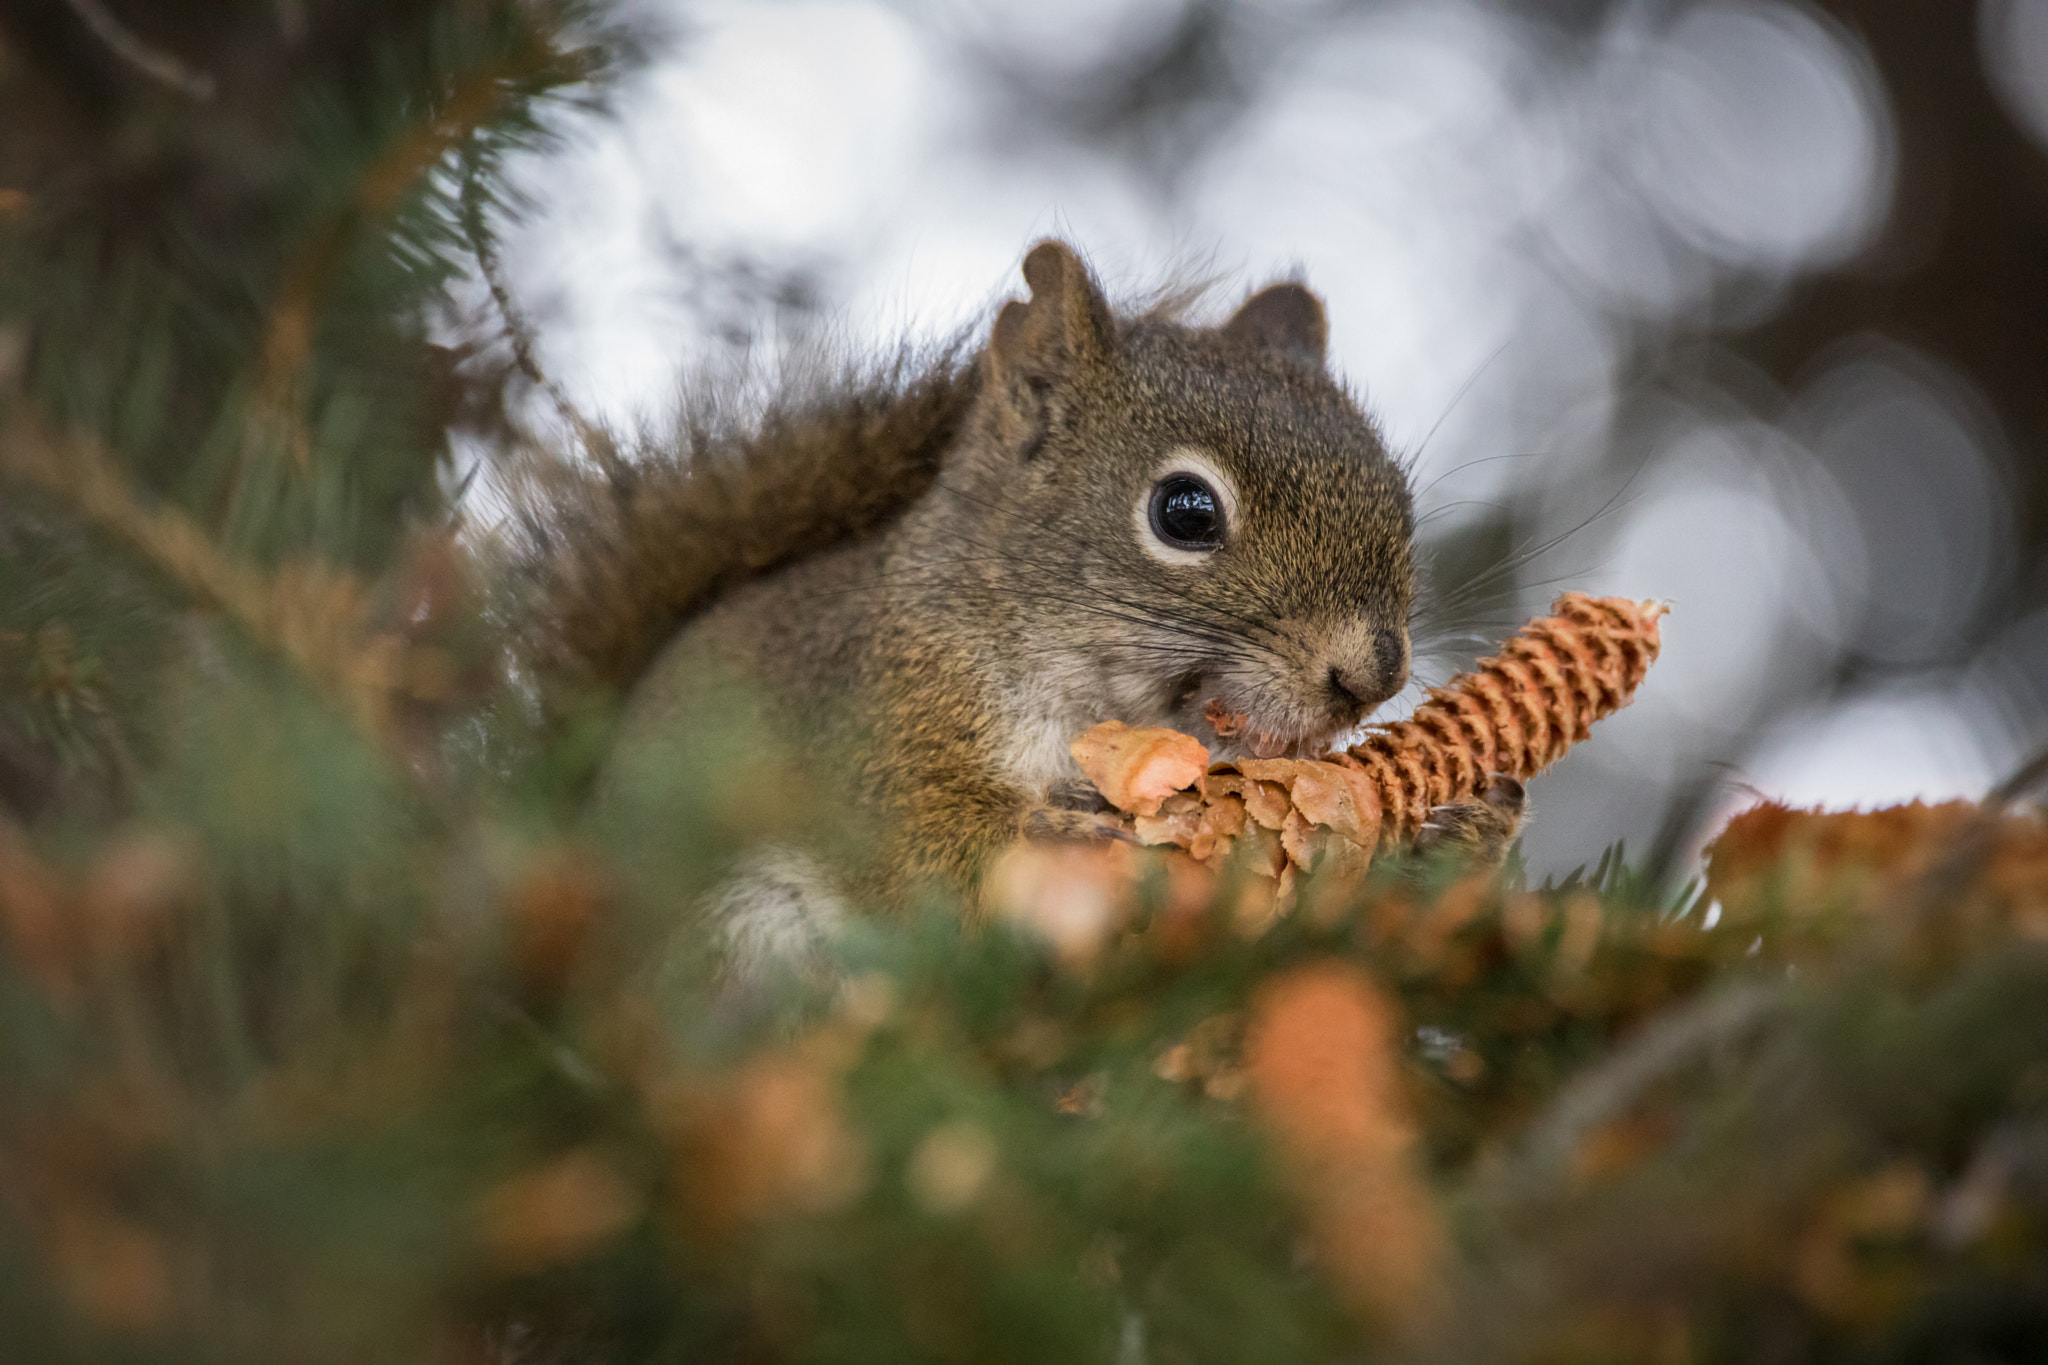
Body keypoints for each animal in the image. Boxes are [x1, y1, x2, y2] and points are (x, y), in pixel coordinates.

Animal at [524, 241, 1522, 966]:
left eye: (1396, 491)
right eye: (1185, 511)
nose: (1372, 676)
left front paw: (1463, 835)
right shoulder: (873, 722)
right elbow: (915, 843)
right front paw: (1059, 834)